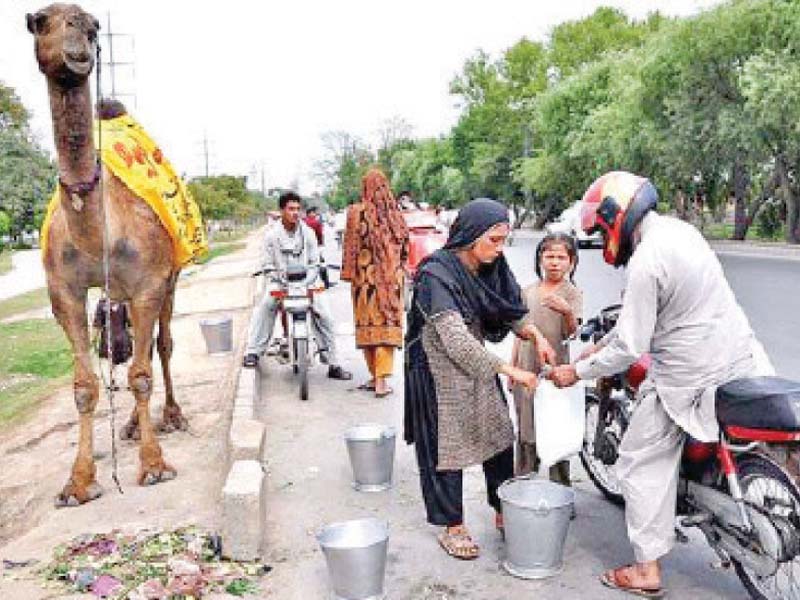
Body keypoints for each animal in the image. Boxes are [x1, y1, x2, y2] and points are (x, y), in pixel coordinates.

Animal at [27, 3, 190, 506]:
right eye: (38, 21)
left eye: (94, 25)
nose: (77, 45)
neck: (95, 231)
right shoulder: (63, 291)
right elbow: (84, 386)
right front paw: (77, 483)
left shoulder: (150, 281)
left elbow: (141, 372)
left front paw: (154, 467)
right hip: (117, 291)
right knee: (133, 348)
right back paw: (133, 426)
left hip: (169, 279)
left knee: (161, 345)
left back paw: (170, 417)